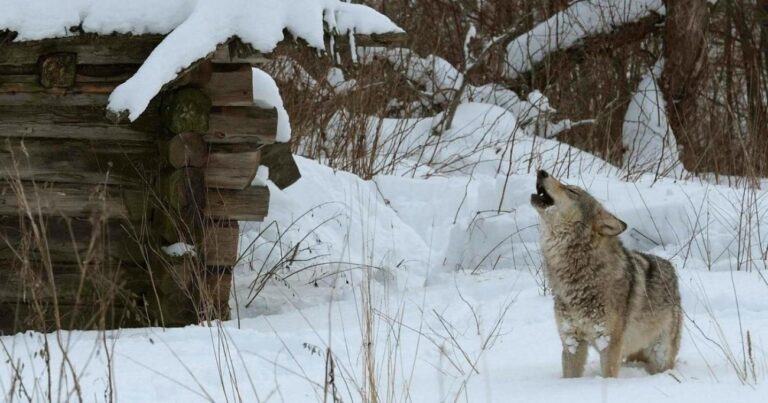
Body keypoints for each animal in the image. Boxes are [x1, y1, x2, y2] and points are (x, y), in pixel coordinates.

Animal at [532, 170, 680, 378]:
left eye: (572, 191)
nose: (541, 171)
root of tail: (670, 266)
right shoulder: (571, 341)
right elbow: (570, 375)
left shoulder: (609, 343)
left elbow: (609, 375)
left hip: (660, 353)